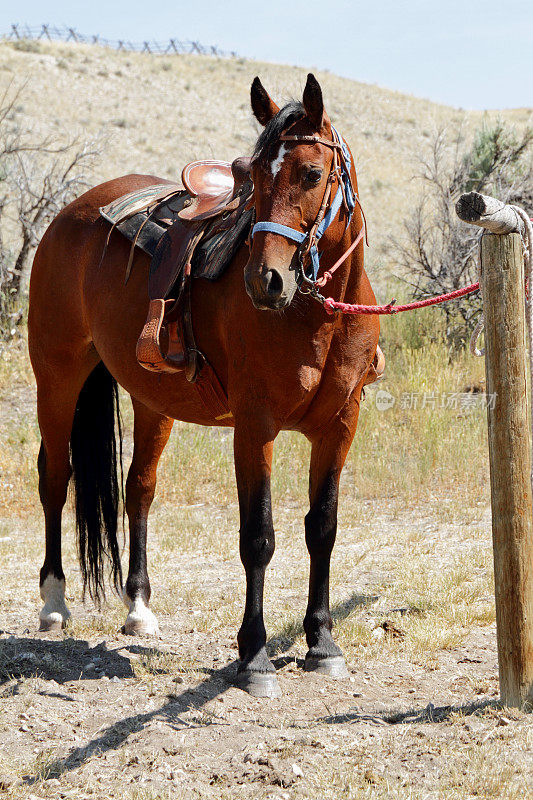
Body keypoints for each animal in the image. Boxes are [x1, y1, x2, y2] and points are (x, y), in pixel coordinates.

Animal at [28, 76, 378, 700]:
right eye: (254, 174)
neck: (321, 316)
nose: (266, 281)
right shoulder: (255, 427)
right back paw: (54, 602)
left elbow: (323, 529)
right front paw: (255, 656)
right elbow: (258, 537)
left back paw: (139, 609)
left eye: (312, 174)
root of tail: (69, 214)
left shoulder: (339, 427)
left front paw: (321, 643)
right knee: (55, 478)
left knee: (138, 487)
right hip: (57, 378)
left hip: (151, 399)